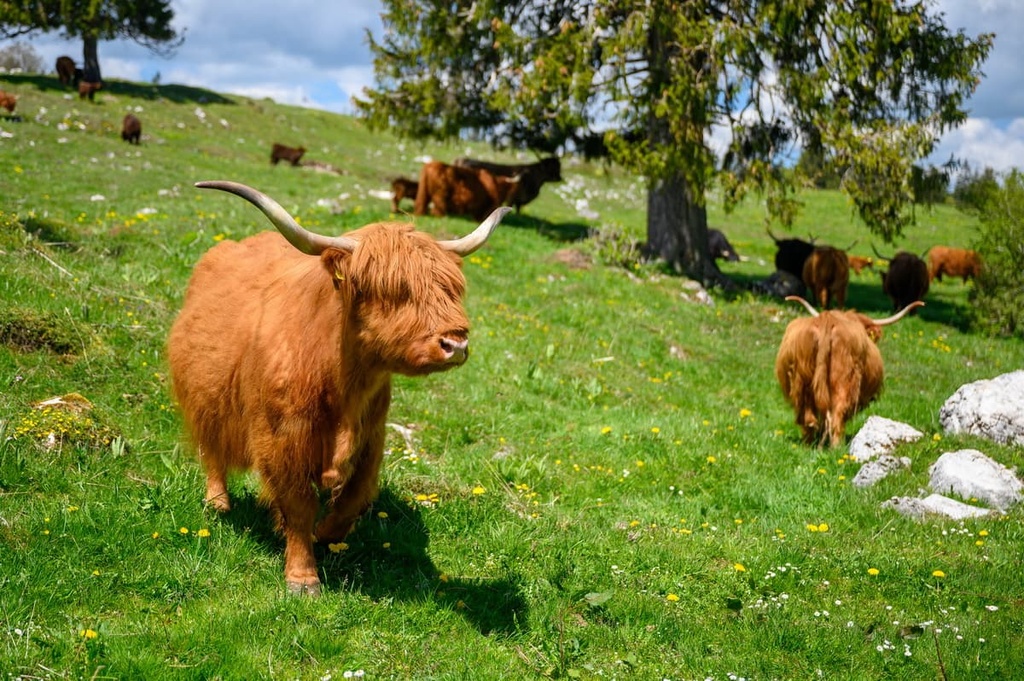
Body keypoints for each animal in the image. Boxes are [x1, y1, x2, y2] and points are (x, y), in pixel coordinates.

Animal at [168, 180, 511, 595]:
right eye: (392, 290)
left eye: (451, 289)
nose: (455, 343)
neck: (344, 383)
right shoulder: (283, 437)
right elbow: (298, 504)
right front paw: (302, 577)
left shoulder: (372, 436)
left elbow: (354, 497)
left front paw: (328, 533)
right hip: (204, 397)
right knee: (212, 448)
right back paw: (218, 501)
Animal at [775, 296, 923, 448]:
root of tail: (826, 319)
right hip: (845, 378)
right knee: (838, 413)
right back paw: (836, 446)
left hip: (800, 380)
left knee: (808, 415)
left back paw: (809, 444)